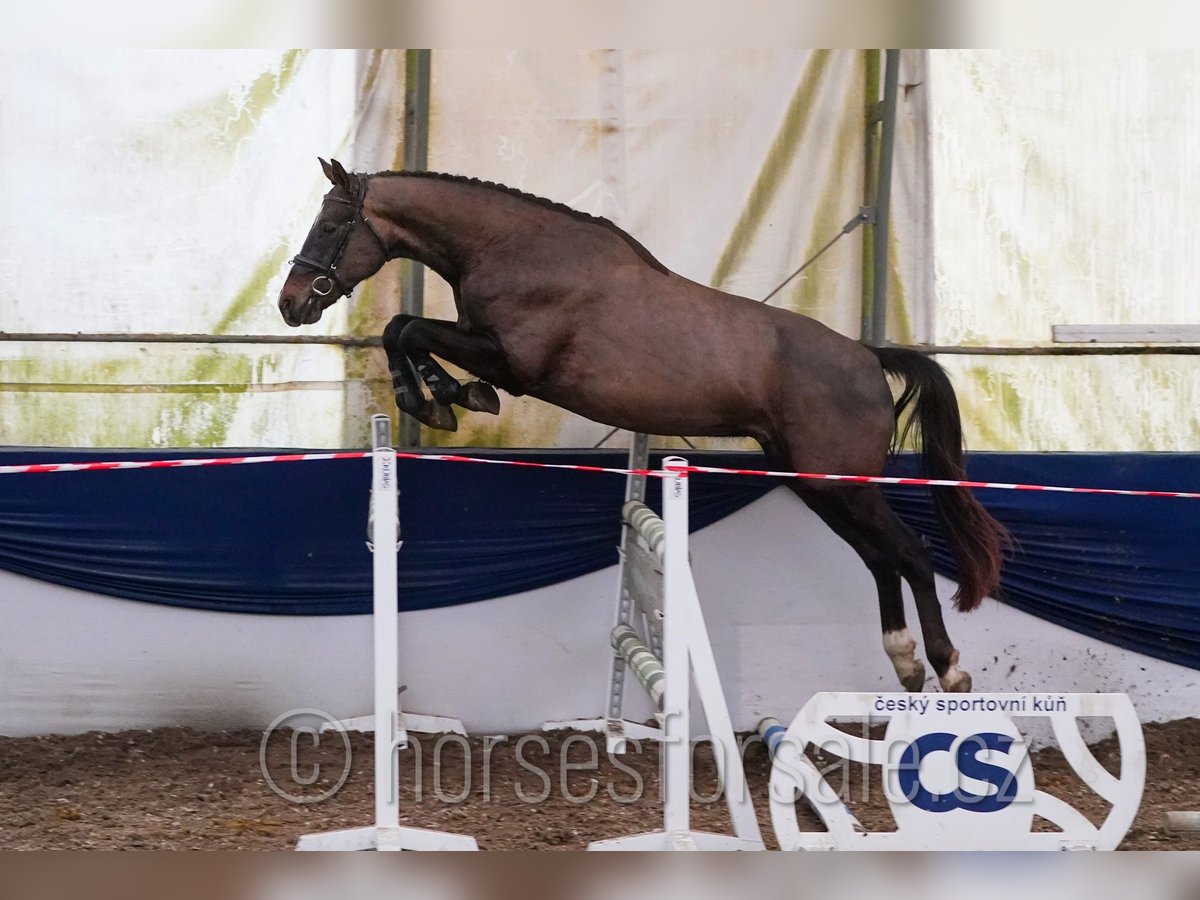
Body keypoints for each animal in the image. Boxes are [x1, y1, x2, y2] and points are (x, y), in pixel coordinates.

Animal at [278, 158, 1007, 693]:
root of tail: (867, 357)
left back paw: (948, 667)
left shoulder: (513, 361)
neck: (515, 248)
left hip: (839, 483)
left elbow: (407, 328)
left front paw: (443, 397)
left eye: (332, 225)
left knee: (911, 553)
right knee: (882, 560)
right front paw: (445, 395)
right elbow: (403, 329)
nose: (290, 304)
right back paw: (905, 662)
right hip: (818, 484)